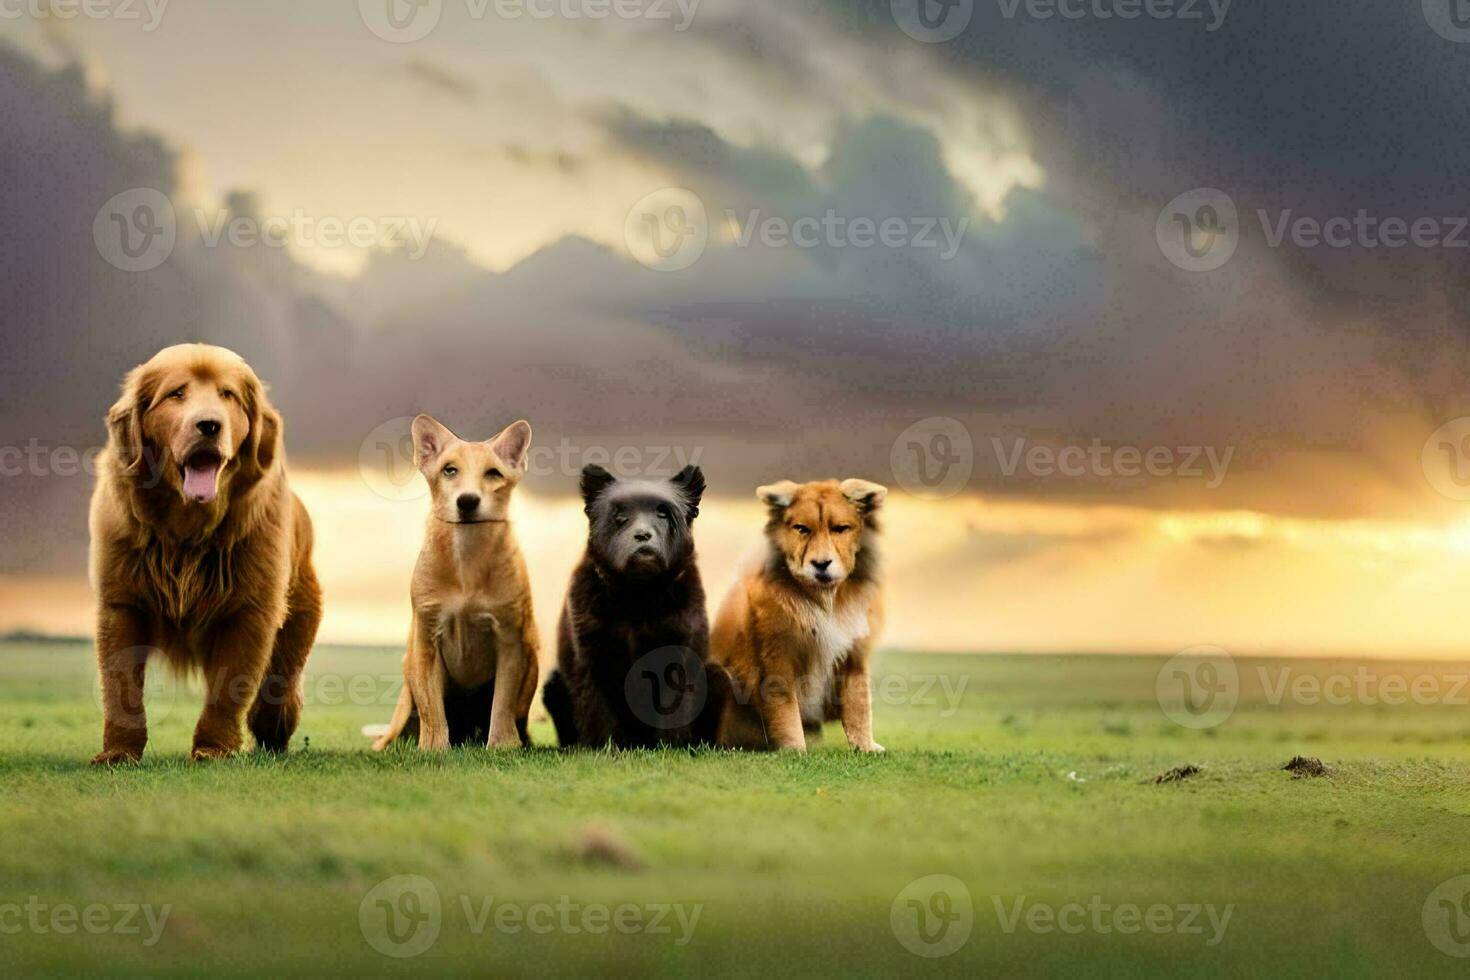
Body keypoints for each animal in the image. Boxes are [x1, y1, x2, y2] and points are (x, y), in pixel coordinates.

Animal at [91, 345, 324, 764]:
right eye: (176, 394)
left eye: (227, 395)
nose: (209, 425)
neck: (186, 536)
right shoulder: (121, 603)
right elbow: (121, 685)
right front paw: (118, 752)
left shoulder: (250, 609)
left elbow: (230, 686)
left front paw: (214, 748)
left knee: (280, 685)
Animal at [373, 414, 540, 752]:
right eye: (450, 470)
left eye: (493, 473)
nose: (467, 501)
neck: (467, 559)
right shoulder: (427, 640)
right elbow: (431, 708)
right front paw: (433, 749)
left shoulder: (509, 640)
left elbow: (502, 705)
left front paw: (502, 746)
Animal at [543, 464, 720, 746]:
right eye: (621, 515)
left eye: (663, 512)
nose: (643, 535)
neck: (637, 595)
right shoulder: (592, 656)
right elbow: (597, 707)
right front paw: (606, 746)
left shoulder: (679, 652)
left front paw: (671, 746)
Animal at [708, 478, 882, 758]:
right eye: (802, 529)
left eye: (840, 529)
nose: (821, 564)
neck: (825, 600)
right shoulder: (777, 659)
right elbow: (786, 711)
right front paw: (794, 750)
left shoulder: (853, 653)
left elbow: (859, 704)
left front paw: (866, 747)